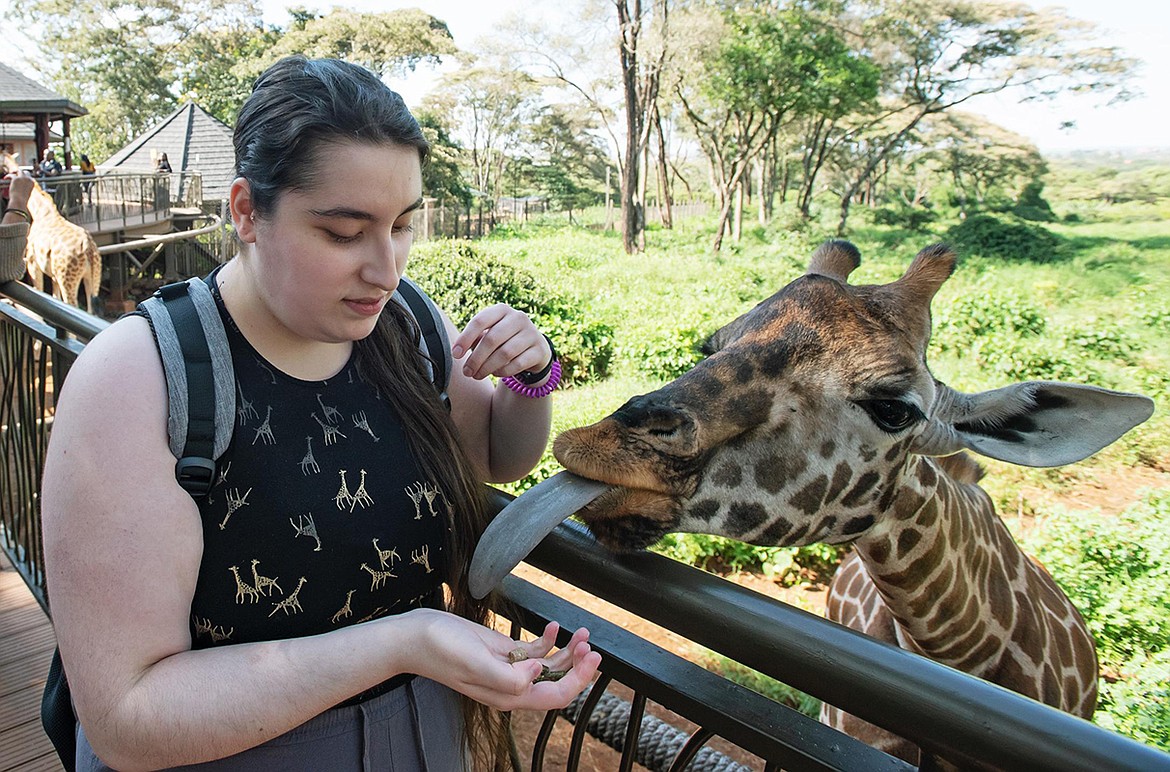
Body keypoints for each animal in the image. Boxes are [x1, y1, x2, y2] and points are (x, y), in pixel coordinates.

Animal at [22, 178, 101, 311]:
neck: (40, 212)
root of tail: (88, 247)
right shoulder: (54, 275)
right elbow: (55, 297)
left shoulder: (32, 263)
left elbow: (39, 291)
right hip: (93, 277)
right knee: (91, 308)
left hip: (67, 280)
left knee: (73, 305)